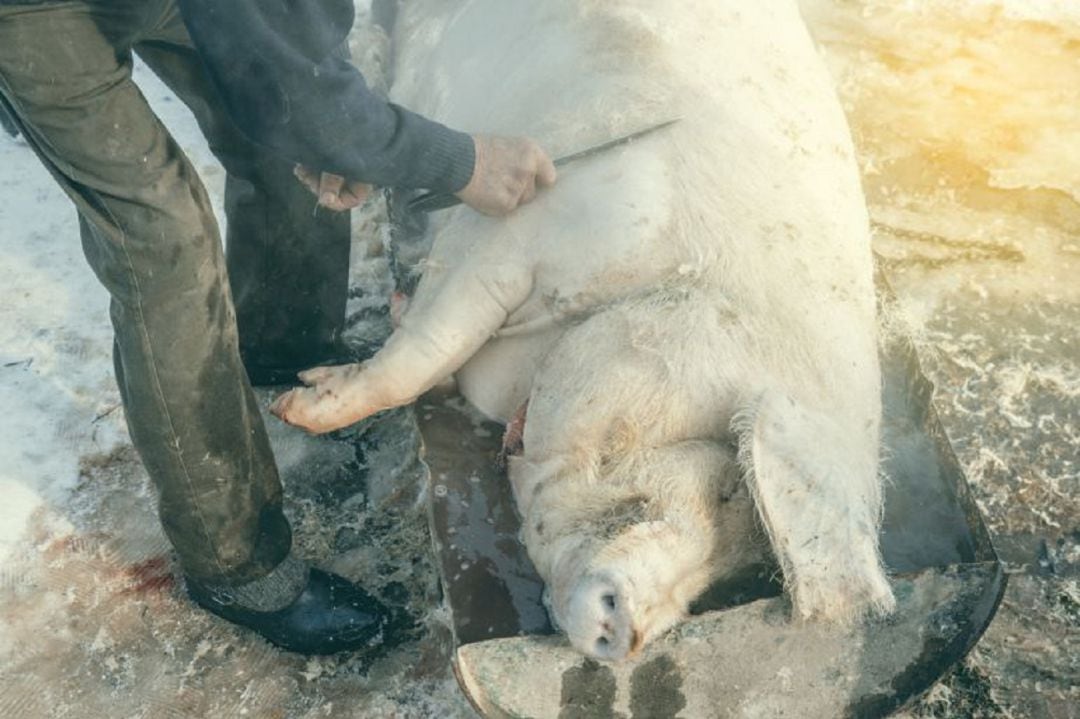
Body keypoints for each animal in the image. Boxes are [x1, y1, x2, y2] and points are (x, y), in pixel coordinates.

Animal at [274, 0, 898, 656]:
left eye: (736, 573)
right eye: (726, 488)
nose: (628, 633)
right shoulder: (516, 231)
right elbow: (425, 349)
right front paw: (295, 403)